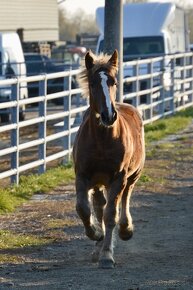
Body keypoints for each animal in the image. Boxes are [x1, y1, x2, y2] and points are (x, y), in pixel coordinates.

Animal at [72, 48, 145, 268]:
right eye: (93, 83)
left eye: (113, 82)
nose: (108, 115)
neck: (102, 141)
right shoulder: (82, 175)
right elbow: (83, 209)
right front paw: (96, 234)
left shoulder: (118, 177)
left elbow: (111, 214)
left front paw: (107, 255)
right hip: (98, 182)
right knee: (98, 206)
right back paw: (98, 244)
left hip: (132, 176)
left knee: (124, 199)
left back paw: (125, 230)